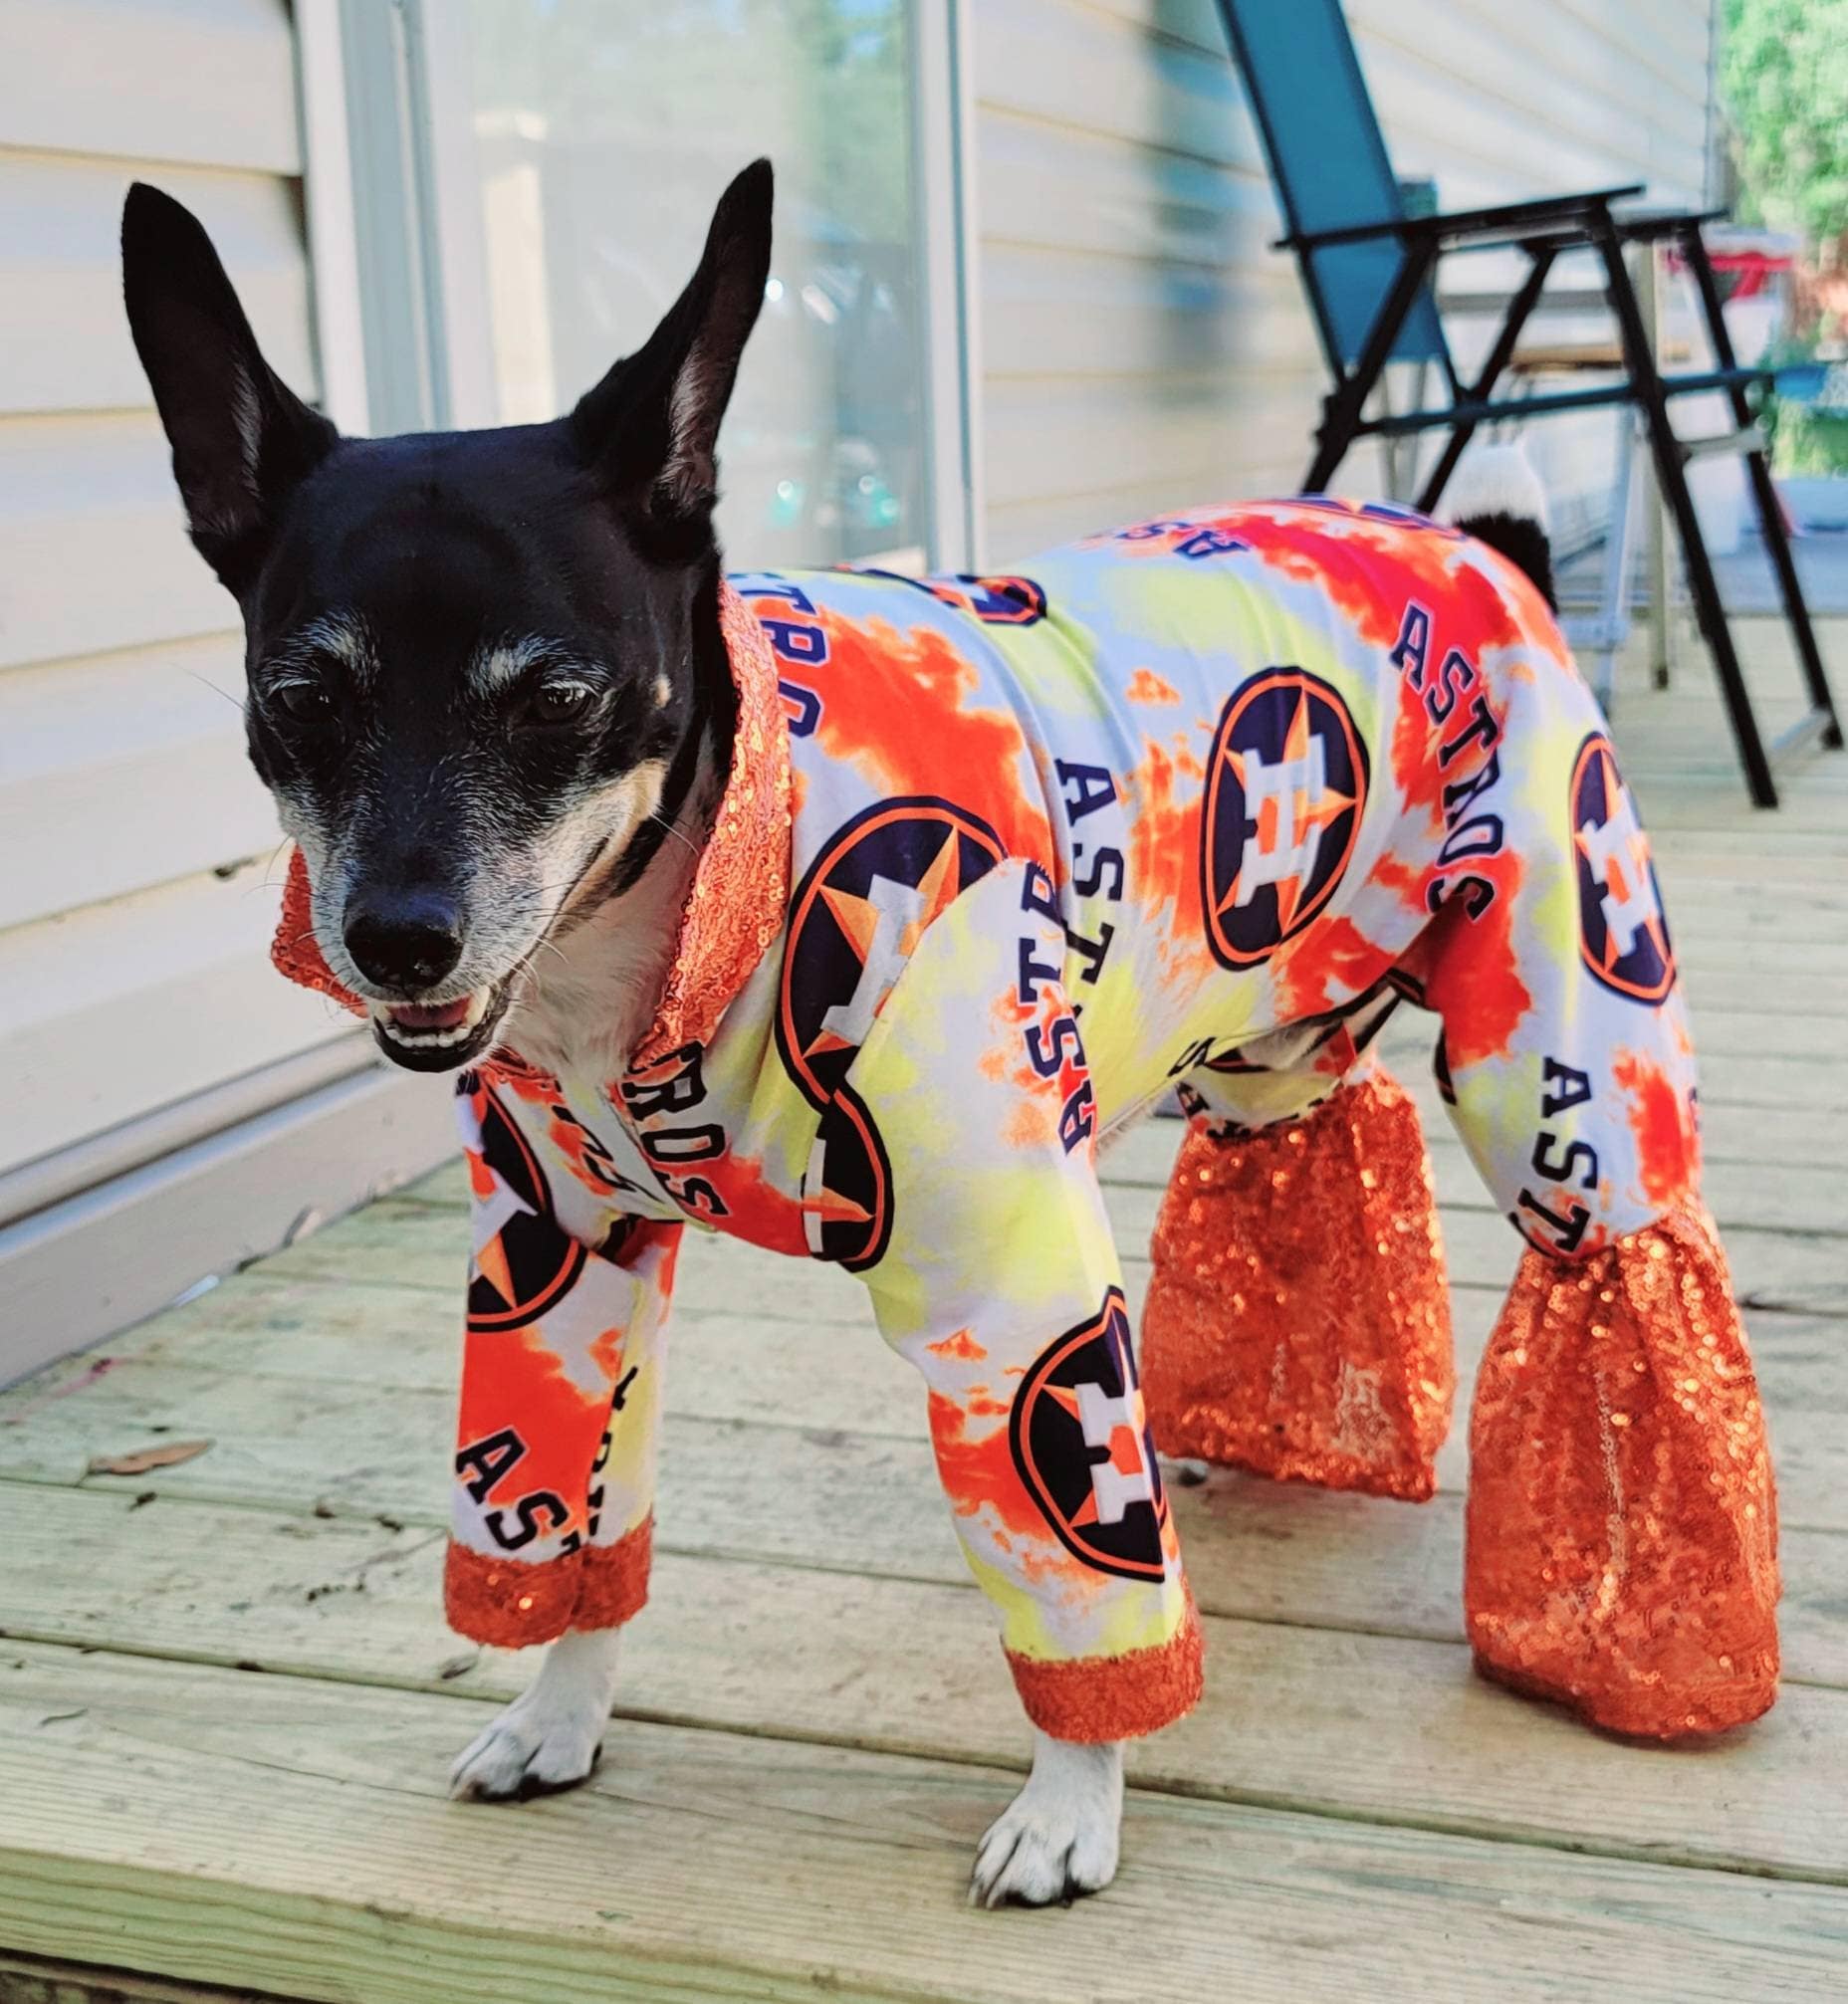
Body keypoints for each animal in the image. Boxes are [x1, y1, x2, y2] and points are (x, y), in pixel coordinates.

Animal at [125, 160, 1771, 1907]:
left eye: (557, 699)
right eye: (302, 698)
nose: (395, 937)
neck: (713, 872)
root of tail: (1476, 539)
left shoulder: (1011, 1299)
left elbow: (1071, 1563)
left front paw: (1072, 1802)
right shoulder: (556, 1264)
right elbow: (569, 1517)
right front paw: (557, 1711)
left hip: (1560, 1046)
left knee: (1622, 1259)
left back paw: (1636, 1619)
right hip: (1270, 1036)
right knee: (1300, 1151)